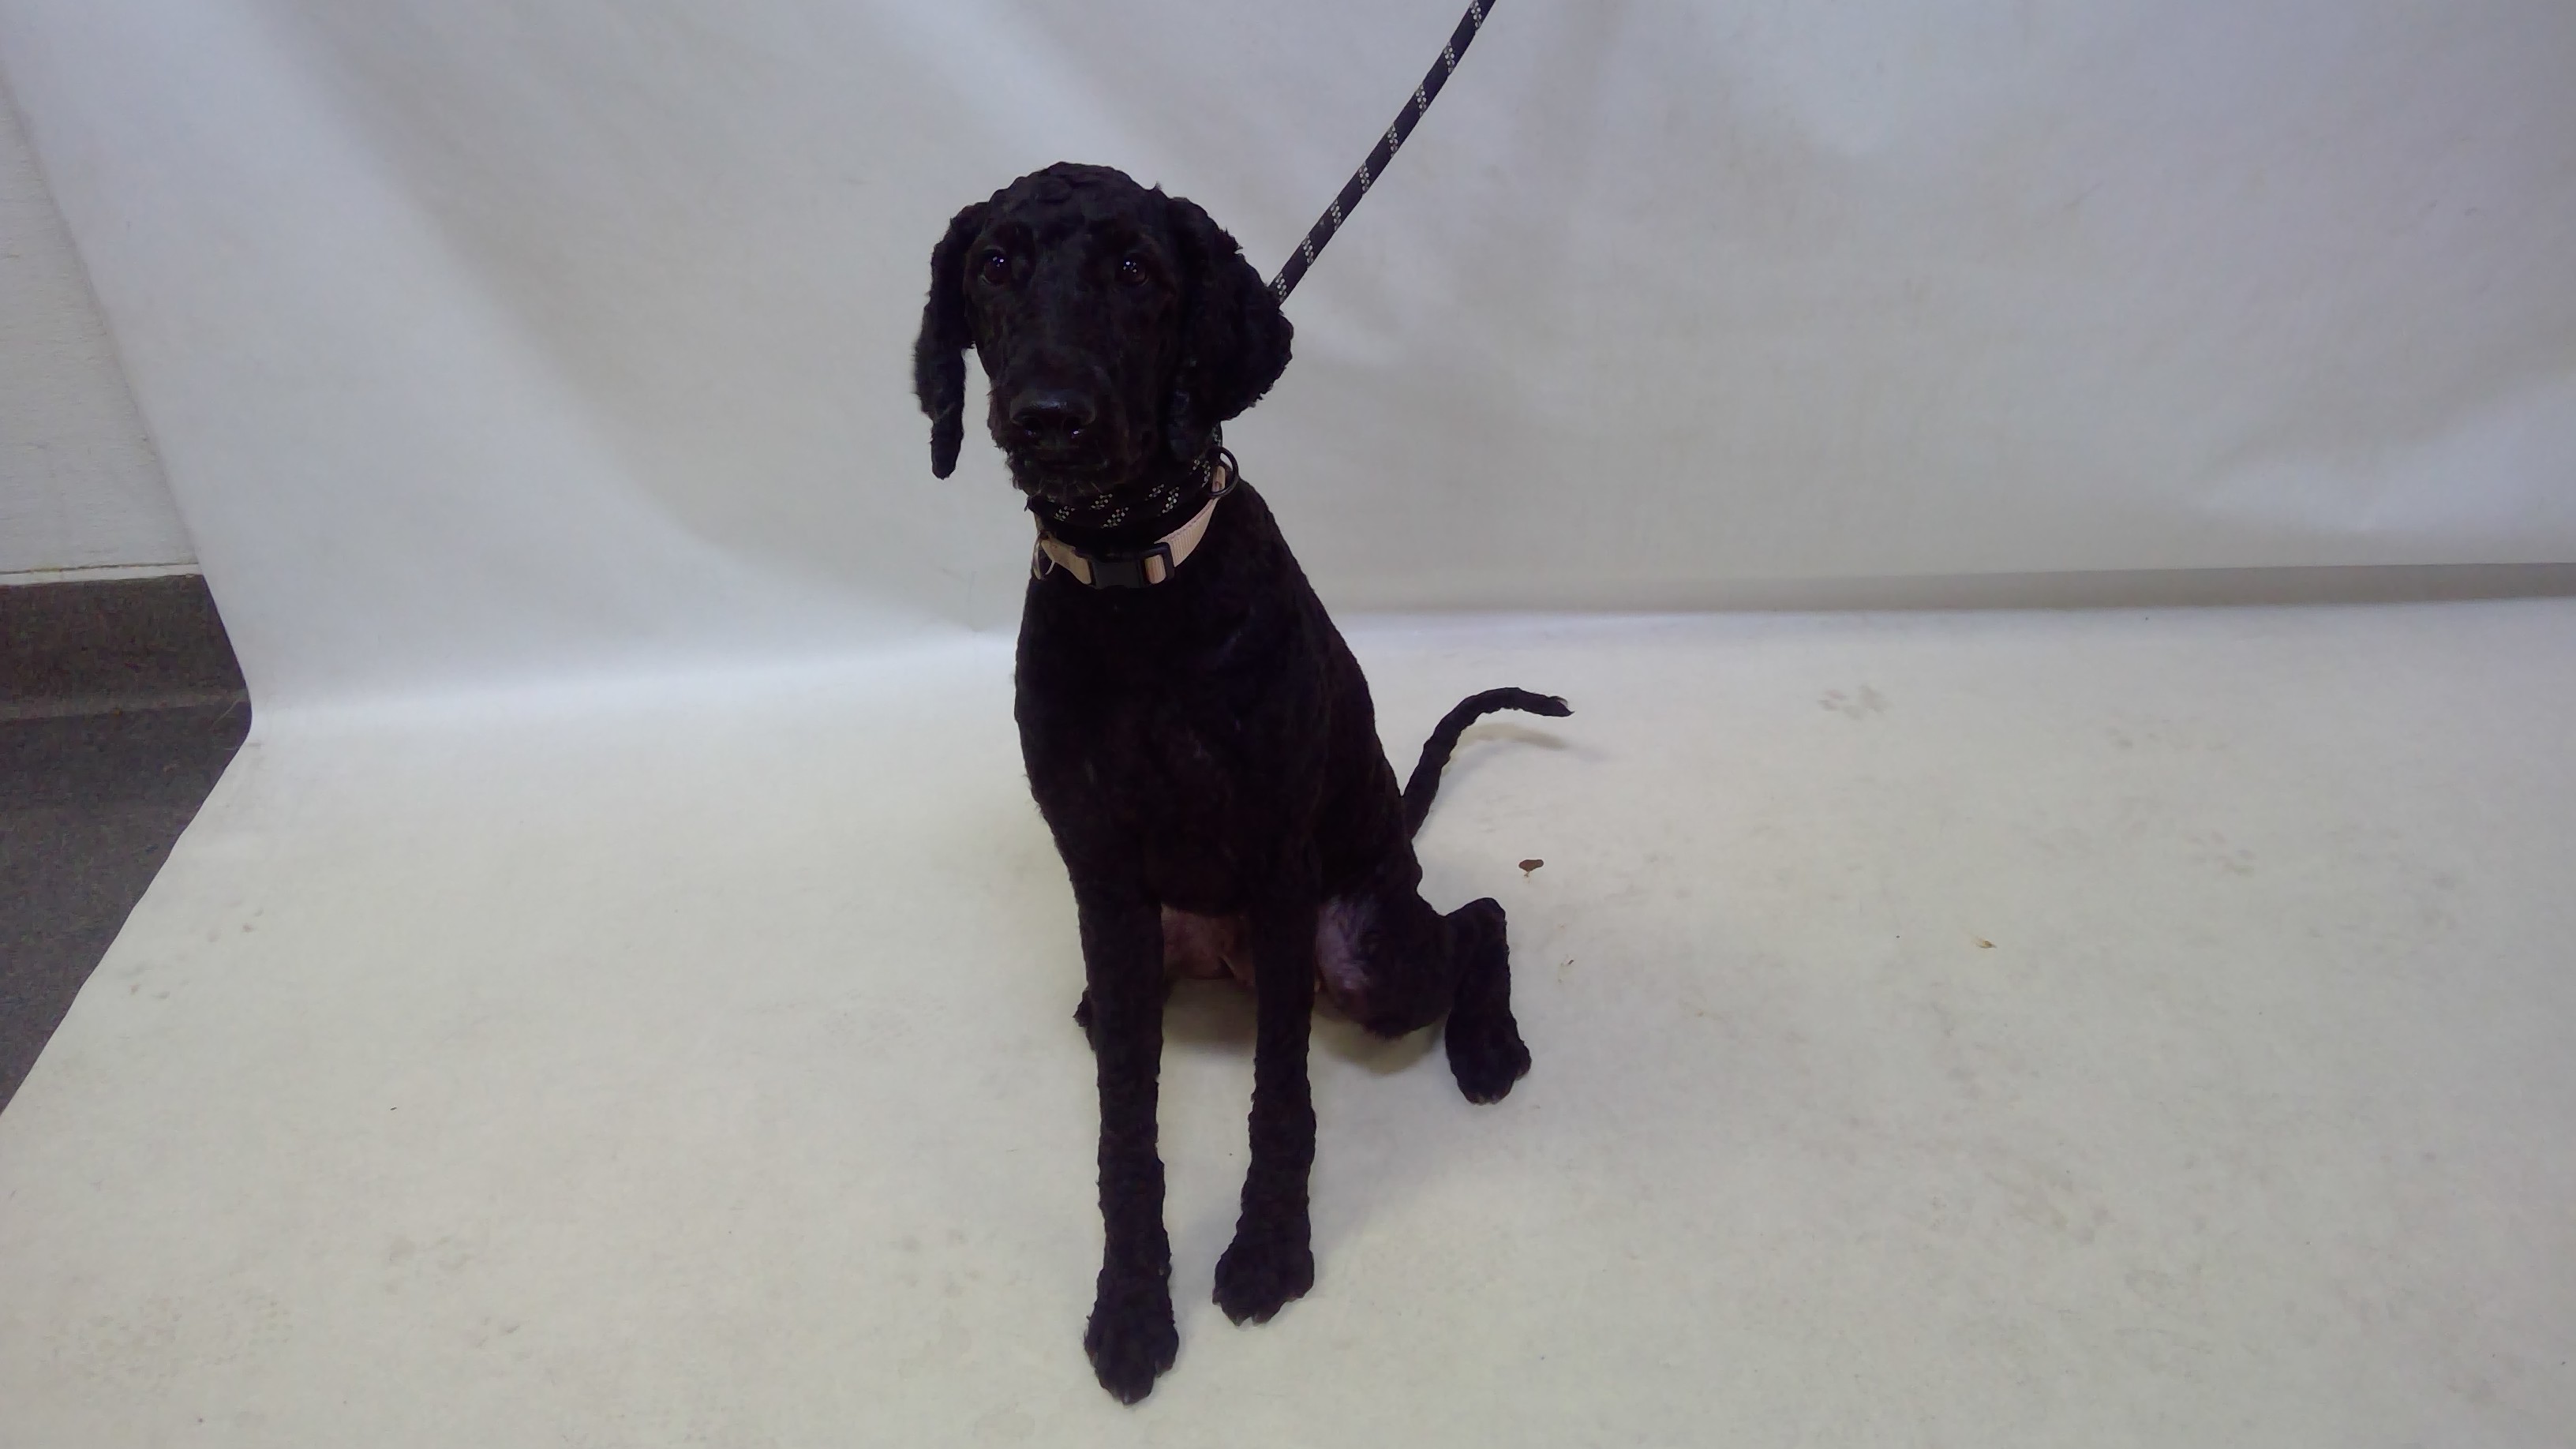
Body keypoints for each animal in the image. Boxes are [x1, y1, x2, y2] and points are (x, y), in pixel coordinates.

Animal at [913, 162, 1567, 1403]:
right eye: (996, 265)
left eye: (1137, 270)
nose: (1050, 417)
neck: (1136, 591)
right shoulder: (1104, 880)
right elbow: (1127, 1131)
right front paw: (1130, 1304)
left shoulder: (1276, 865)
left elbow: (1282, 1098)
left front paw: (1269, 1252)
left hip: (1365, 950)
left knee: (1477, 920)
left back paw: (1487, 1045)